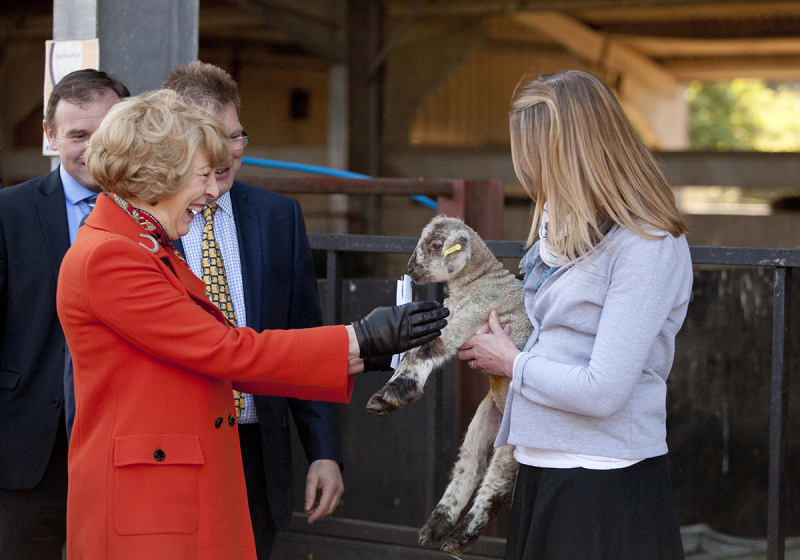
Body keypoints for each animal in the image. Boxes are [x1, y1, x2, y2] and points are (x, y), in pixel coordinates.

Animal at [368, 215, 532, 556]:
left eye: (435, 245)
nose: (410, 268)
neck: (479, 282)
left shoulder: (471, 319)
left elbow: (427, 350)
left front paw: (392, 395)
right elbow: (418, 348)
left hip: (515, 434)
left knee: (497, 482)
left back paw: (459, 537)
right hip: (487, 419)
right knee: (469, 464)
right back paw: (436, 527)